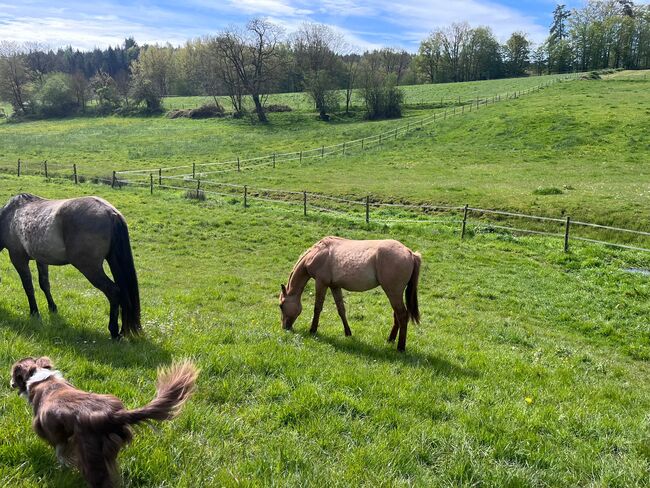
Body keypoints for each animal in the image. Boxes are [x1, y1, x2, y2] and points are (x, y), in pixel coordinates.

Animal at [0, 194, 141, 340]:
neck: (9, 216)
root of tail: (110, 212)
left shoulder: (18, 259)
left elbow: (28, 287)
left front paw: (34, 313)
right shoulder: (41, 260)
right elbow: (44, 284)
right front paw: (52, 308)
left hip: (90, 269)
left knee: (113, 291)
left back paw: (114, 331)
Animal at [10, 356, 197, 486]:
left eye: (14, 375)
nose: (10, 383)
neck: (42, 378)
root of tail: (114, 414)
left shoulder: (49, 429)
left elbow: (60, 450)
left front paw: (63, 464)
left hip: (90, 453)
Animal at [278, 236, 420, 350]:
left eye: (281, 305)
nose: (285, 327)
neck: (317, 253)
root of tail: (410, 253)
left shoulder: (321, 283)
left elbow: (317, 308)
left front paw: (313, 330)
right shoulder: (335, 286)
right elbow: (341, 310)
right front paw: (348, 333)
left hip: (393, 292)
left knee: (402, 316)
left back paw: (400, 347)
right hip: (394, 293)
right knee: (397, 316)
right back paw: (390, 340)